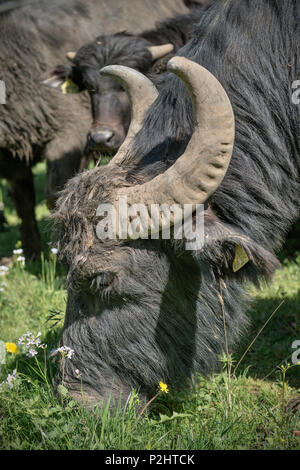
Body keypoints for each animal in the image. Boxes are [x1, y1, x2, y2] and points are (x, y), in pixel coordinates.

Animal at [0, 0, 189, 258]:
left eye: (125, 87)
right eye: (89, 88)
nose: (101, 138)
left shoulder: (68, 138)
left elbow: (54, 195)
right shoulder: (11, 156)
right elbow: (25, 200)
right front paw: (32, 253)